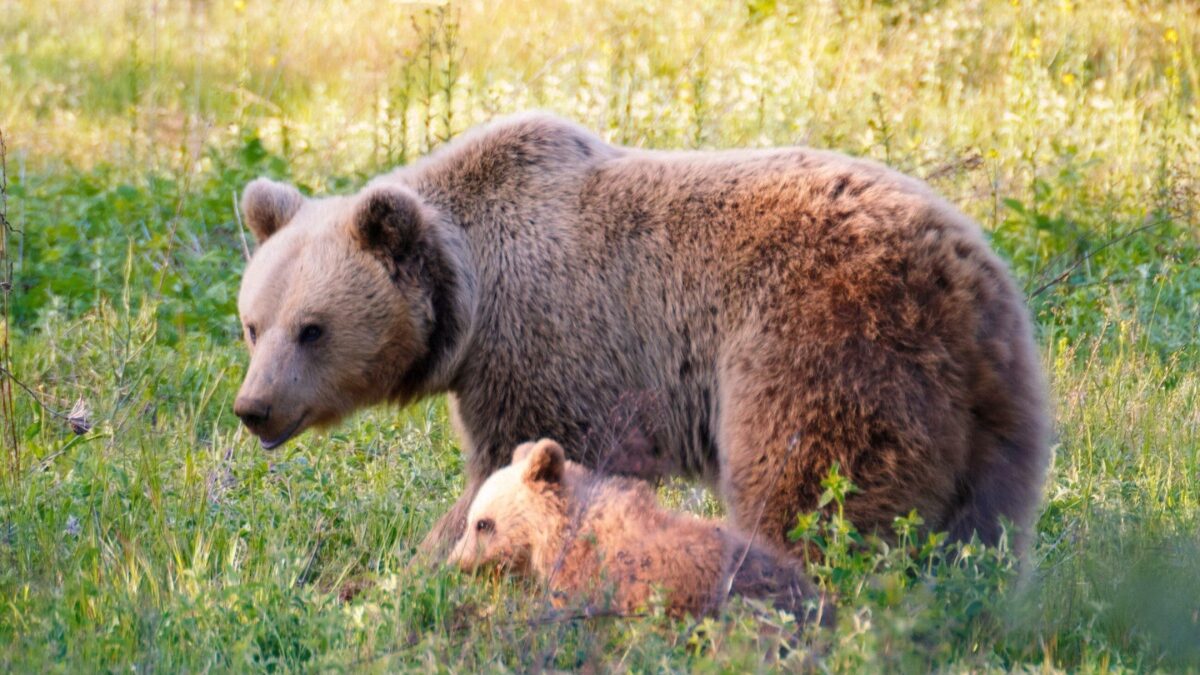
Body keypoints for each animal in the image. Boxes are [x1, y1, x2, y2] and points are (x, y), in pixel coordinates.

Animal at [234, 111, 1051, 557]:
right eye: (252, 325)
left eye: (312, 329)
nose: (254, 408)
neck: (472, 295)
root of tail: (959, 277)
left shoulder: (549, 342)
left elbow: (519, 461)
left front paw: (426, 565)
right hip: (993, 405)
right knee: (984, 532)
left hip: (821, 340)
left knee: (811, 494)